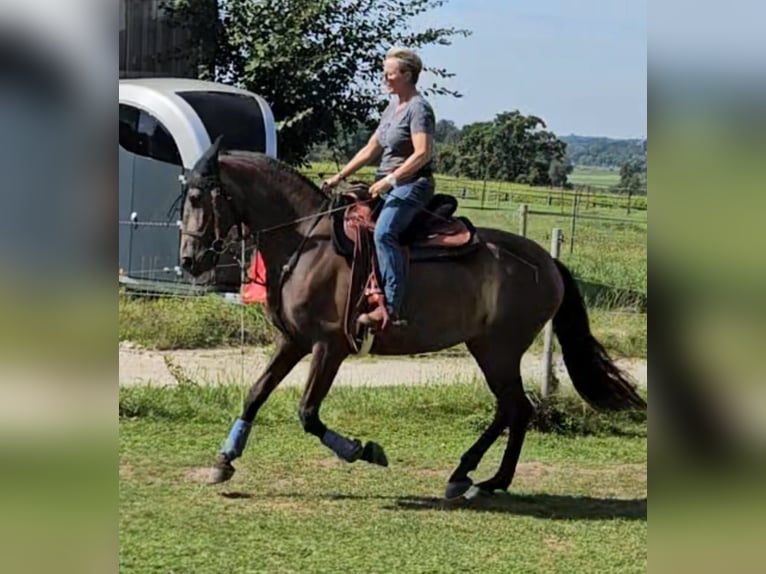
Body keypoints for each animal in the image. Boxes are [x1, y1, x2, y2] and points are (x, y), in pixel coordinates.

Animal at [180, 140, 648, 500]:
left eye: (199, 199)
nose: (188, 260)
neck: (308, 243)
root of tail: (548, 262)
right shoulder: (293, 341)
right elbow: (255, 394)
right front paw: (224, 460)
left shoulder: (330, 347)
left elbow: (308, 413)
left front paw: (362, 451)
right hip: (489, 348)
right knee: (512, 409)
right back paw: (479, 477)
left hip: (498, 350)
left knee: (516, 408)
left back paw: (480, 478)